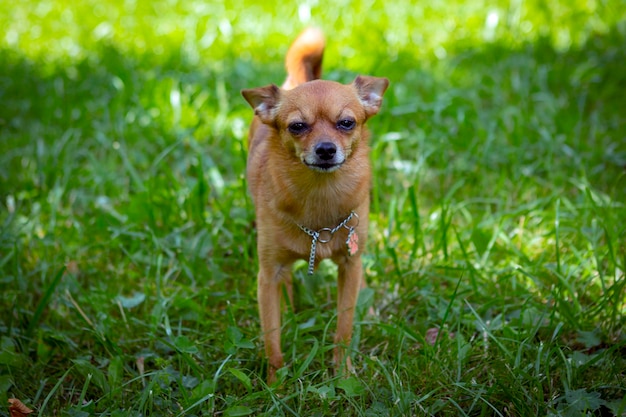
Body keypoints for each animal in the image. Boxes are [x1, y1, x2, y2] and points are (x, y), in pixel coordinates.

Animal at [241, 27, 388, 382]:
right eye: (297, 126)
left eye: (347, 123)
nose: (325, 149)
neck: (320, 195)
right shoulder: (267, 274)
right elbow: (272, 339)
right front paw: (275, 384)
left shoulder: (350, 266)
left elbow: (344, 328)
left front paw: (343, 374)